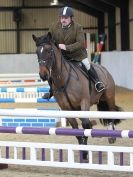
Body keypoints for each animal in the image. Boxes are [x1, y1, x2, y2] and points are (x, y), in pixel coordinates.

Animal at [32, 32, 121, 160]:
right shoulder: (67, 109)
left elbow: (85, 125)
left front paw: (86, 149)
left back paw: (112, 136)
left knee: (111, 113)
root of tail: (104, 69)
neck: (62, 80)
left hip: (109, 97)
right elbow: (76, 129)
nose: (43, 75)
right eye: (37, 52)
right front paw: (83, 151)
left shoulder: (84, 102)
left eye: (49, 51)